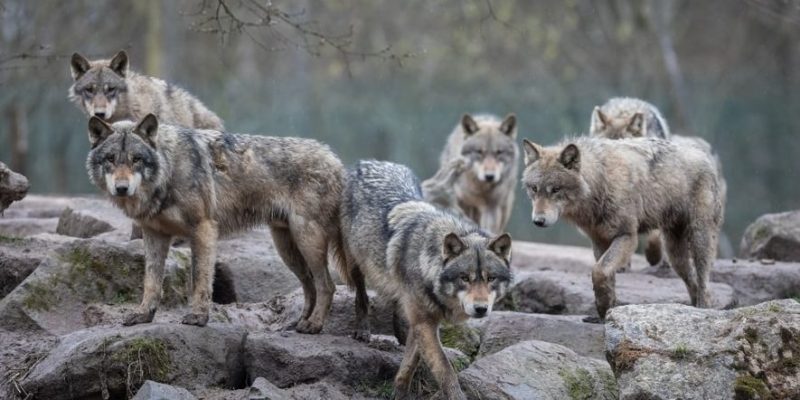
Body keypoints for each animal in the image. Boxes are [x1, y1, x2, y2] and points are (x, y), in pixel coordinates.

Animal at [86, 112, 346, 332]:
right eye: (110, 159)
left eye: (136, 159)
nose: (121, 188)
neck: (169, 170)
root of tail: (336, 159)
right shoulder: (154, 234)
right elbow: (151, 281)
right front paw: (143, 315)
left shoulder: (203, 228)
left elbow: (200, 278)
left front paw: (198, 317)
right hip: (287, 248)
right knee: (310, 285)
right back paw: (300, 322)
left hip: (307, 241)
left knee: (327, 285)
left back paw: (314, 325)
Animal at [338, 160, 512, 400]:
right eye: (464, 278)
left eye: (491, 278)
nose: (480, 309)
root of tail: (369, 162)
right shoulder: (425, 323)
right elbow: (445, 369)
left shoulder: (423, 323)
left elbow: (409, 364)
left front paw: (398, 393)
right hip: (355, 263)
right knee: (361, 295)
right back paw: (363, 330)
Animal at [520, 136, 728, 320]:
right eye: (534, 188)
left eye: (555, 190)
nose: (538, 221)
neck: (600, 181)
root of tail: (704, 155)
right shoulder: (599, 241)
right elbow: (605, 274)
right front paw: (606, 310)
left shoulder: (627, 236)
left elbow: (599, 271)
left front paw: (604, 307)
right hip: (675, 255)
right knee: (692, 281)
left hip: (699, 239)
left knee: (703, 280)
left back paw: (703, 309)